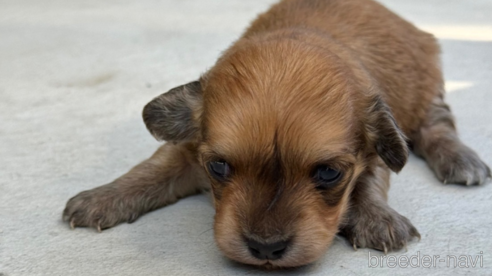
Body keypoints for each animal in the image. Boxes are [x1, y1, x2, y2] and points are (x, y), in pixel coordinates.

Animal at [63, 0, 490, 268]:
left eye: (329, 173)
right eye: (219, 168)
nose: (265, 249)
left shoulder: (375, 146)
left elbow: (371, 180)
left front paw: (376, 218)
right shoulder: (189, 148)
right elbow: (152, 169)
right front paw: (103, 197)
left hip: (427, 83)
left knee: (437, 123)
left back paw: (461, 159)